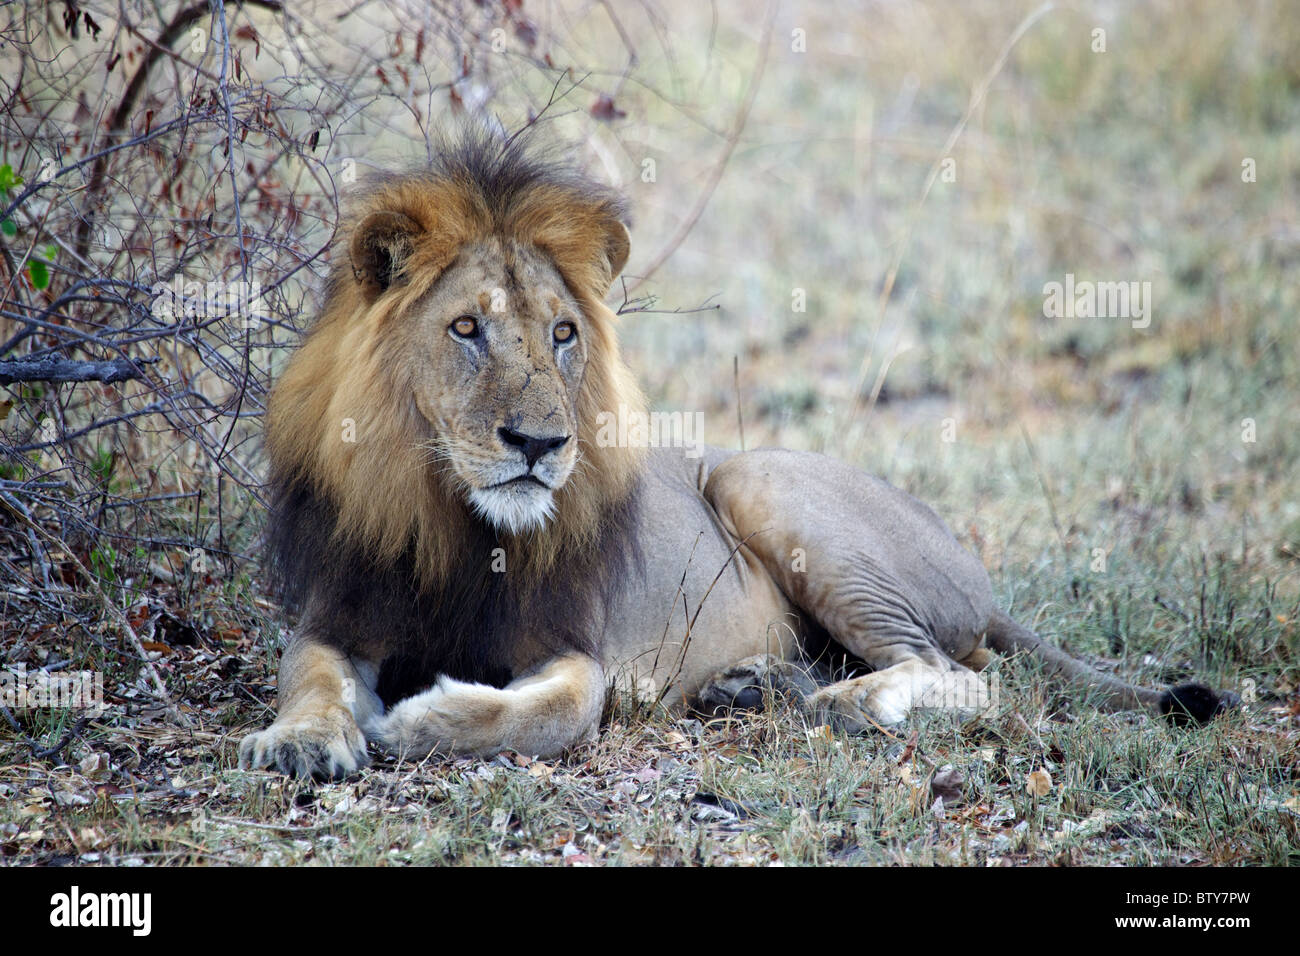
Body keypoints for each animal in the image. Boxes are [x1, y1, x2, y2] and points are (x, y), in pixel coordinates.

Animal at [241, 130, 1227, 780]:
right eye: (465, 329)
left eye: (563, 334)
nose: (542, 443)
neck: (449, 513)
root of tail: (978, 575)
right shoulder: (339, 612)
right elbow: (309, 677)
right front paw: (301, 740)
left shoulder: (574, 646)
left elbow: (549, 714)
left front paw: (414, 720)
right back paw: (759, 682)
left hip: (762, 480)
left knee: (964, 678)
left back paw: (841, 702)